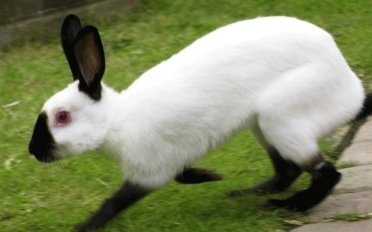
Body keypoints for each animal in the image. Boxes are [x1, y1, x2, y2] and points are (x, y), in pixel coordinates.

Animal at [28, 13, 370, 231]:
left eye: (62, 117)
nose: (33, 150)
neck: (116, 121)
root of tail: (352, 92)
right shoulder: (168, 160)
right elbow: (182, 175)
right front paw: (210, 176)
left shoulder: (146, 173)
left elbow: (113, 203)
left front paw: (84, 226)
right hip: (262, 125)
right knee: (288, 170)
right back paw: (247, 195)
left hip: (281, 117)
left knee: (326, 175)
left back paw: (285, 206)